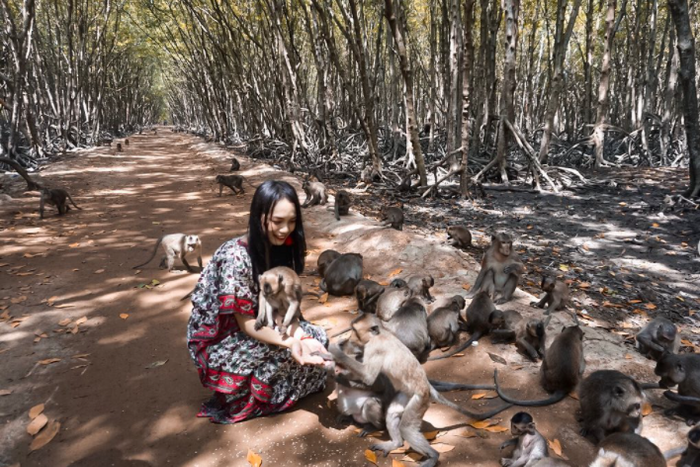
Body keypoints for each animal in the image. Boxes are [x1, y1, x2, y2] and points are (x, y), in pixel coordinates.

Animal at [330, 312, 512, 466]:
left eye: (354, 331)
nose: (350, 338)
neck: (381, 334)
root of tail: (427, 386)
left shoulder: (374, 347)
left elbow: (368, 377)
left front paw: (335, 354)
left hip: (420, 400)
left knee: (406, 428)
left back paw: (433, 457)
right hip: (407, 395)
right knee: (392, 414)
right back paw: (396, 443)